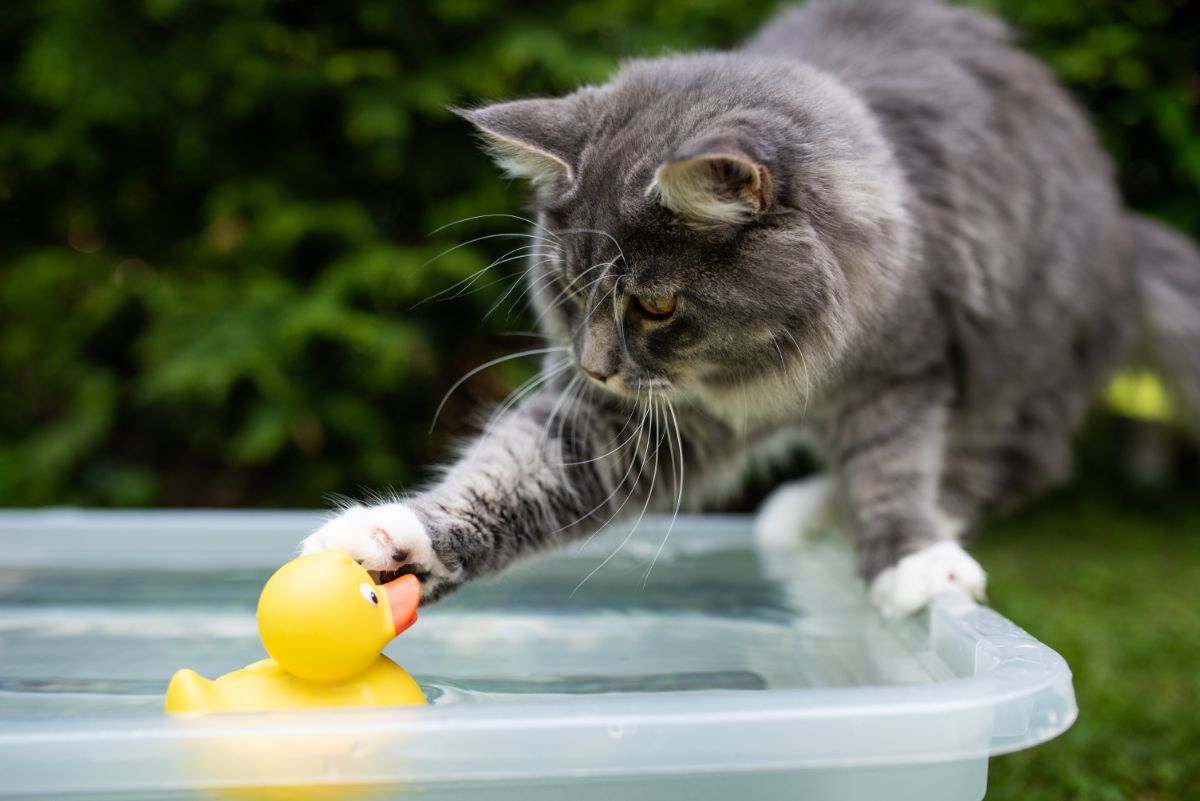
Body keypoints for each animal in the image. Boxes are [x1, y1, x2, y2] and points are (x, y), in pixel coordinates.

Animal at [300, 0, 1200, 618]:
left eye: (656, 303)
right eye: (572, 289)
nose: (594, 364)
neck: (763, 372)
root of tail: (1122, 226)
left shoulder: (906, 369)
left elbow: (892, 465)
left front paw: (910, 558)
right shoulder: (625, 423)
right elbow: (508, 473)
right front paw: (388, 541)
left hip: (1019, 371)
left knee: (994, 465)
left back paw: (851, 522)